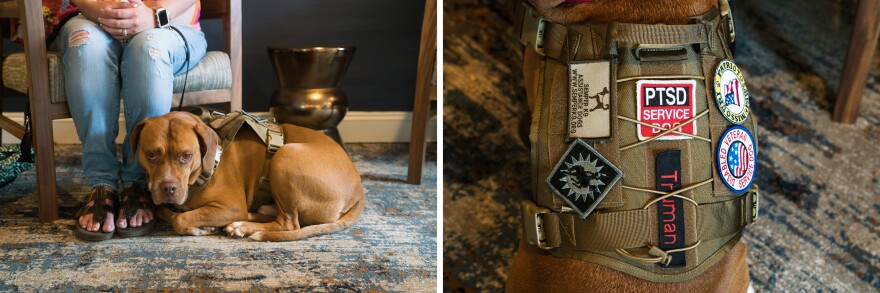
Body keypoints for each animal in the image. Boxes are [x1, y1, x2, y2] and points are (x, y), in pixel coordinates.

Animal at [128, 111, 364, 240]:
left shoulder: (231, 206)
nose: (168, 188)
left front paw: (199, 228)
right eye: (151, 154)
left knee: (288, 223)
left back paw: (243, 226)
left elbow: (180, 219)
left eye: (186, 156)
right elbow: (164, 210)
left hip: (285, 155)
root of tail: (359, 190)